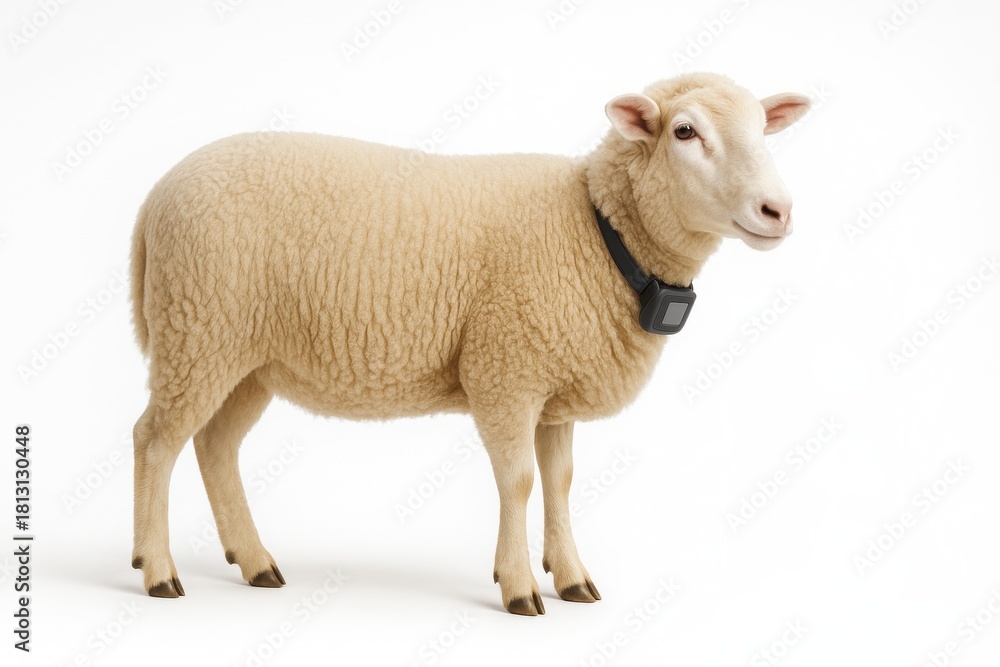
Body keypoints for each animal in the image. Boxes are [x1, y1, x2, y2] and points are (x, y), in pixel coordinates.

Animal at [129, 72, 809, 615]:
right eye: (685, 132)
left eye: (763, 130)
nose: (778, 211)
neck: (597, 229)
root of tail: (155, 196)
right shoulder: (505, 370)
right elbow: (519, 481)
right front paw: (519, 587)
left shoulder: (552, 386)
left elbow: (560, 480)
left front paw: (571, 578)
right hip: (196, 328)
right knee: (155, 440)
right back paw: (156, 570)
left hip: (246, 357)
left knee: (215, 446)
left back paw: (254, 561)